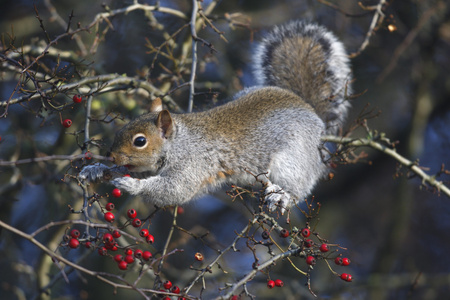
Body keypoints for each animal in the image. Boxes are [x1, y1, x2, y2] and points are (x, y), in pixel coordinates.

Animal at [78, 20, 352, 213]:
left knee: (298, 187)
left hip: (293, 159)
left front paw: (132, 185)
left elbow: (174, 190)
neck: (179, 143)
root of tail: (309, 109)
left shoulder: (193, 164)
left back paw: (282, 195)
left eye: (140, 141)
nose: (112, 155)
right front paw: (96, 169)